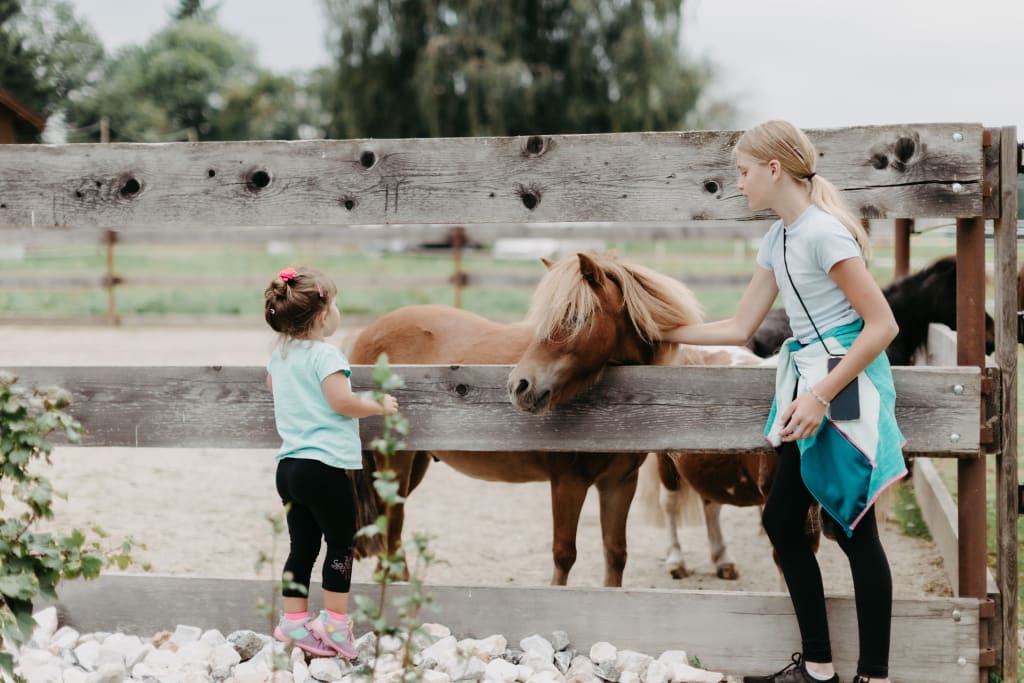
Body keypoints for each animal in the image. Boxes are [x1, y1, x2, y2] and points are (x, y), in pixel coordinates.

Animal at [350, 250, 704, 586]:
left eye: (576, 318)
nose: (520, 386)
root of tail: (365, 337)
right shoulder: (567, 482)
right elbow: (564, 555)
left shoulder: (618, 484)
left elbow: (615, 555)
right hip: (394, 465)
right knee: (392, 530)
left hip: (412, 467)